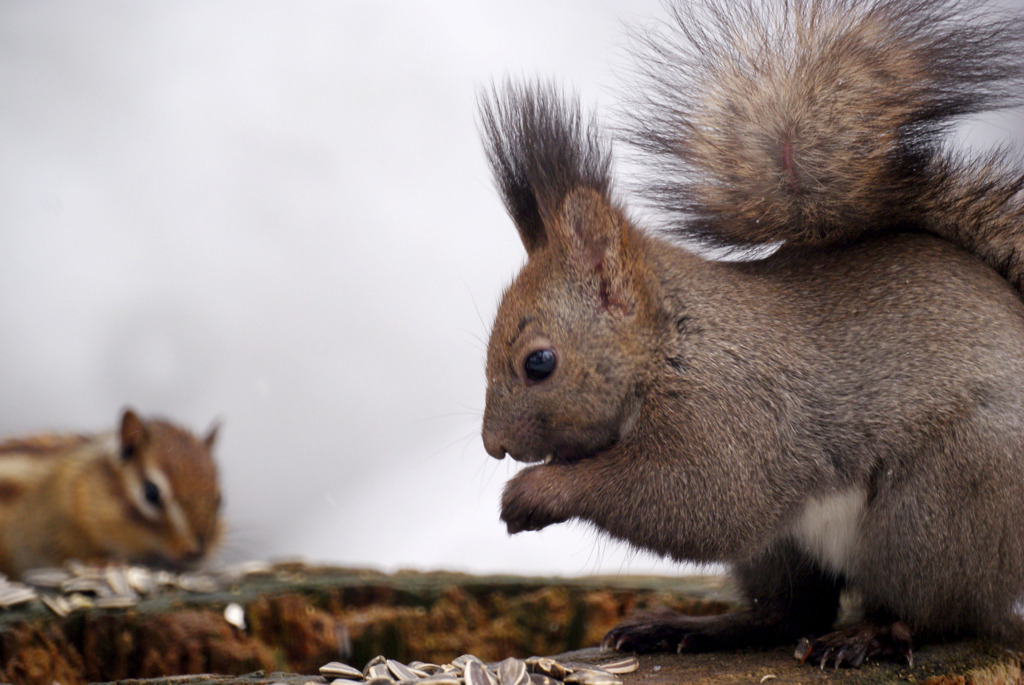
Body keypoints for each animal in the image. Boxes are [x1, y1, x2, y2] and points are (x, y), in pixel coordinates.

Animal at [477, 0, 1024, 667]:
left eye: (539, 363)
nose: (494, 446)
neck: (675, 344)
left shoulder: (734, 416)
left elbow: (698, 499)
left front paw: (537, 490)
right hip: (782, 550)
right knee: (790, 611)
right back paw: (698, 628)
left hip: (943, 508)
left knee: (933, 611)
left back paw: (871, 635)